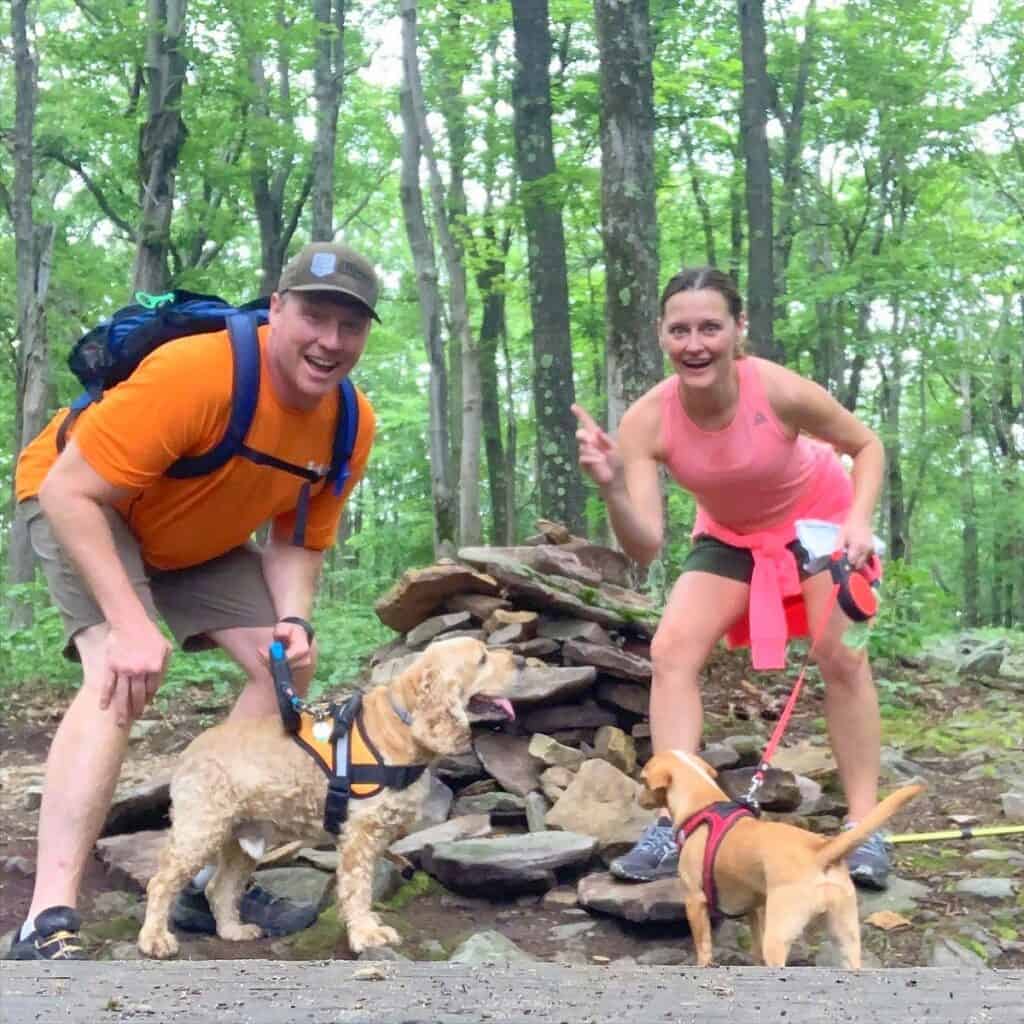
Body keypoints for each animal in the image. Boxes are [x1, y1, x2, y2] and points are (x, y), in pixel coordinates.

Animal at [138, 634, 520, 954]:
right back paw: (155, 939)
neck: (401, 723)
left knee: (219, 886)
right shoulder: (359, 835)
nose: (521, 661)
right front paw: (366, 934)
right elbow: (357, 887)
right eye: (482, 658)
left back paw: (233, 930)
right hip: (201, 830)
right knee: (161, 882)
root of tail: (189, 751)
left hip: (242, 837)